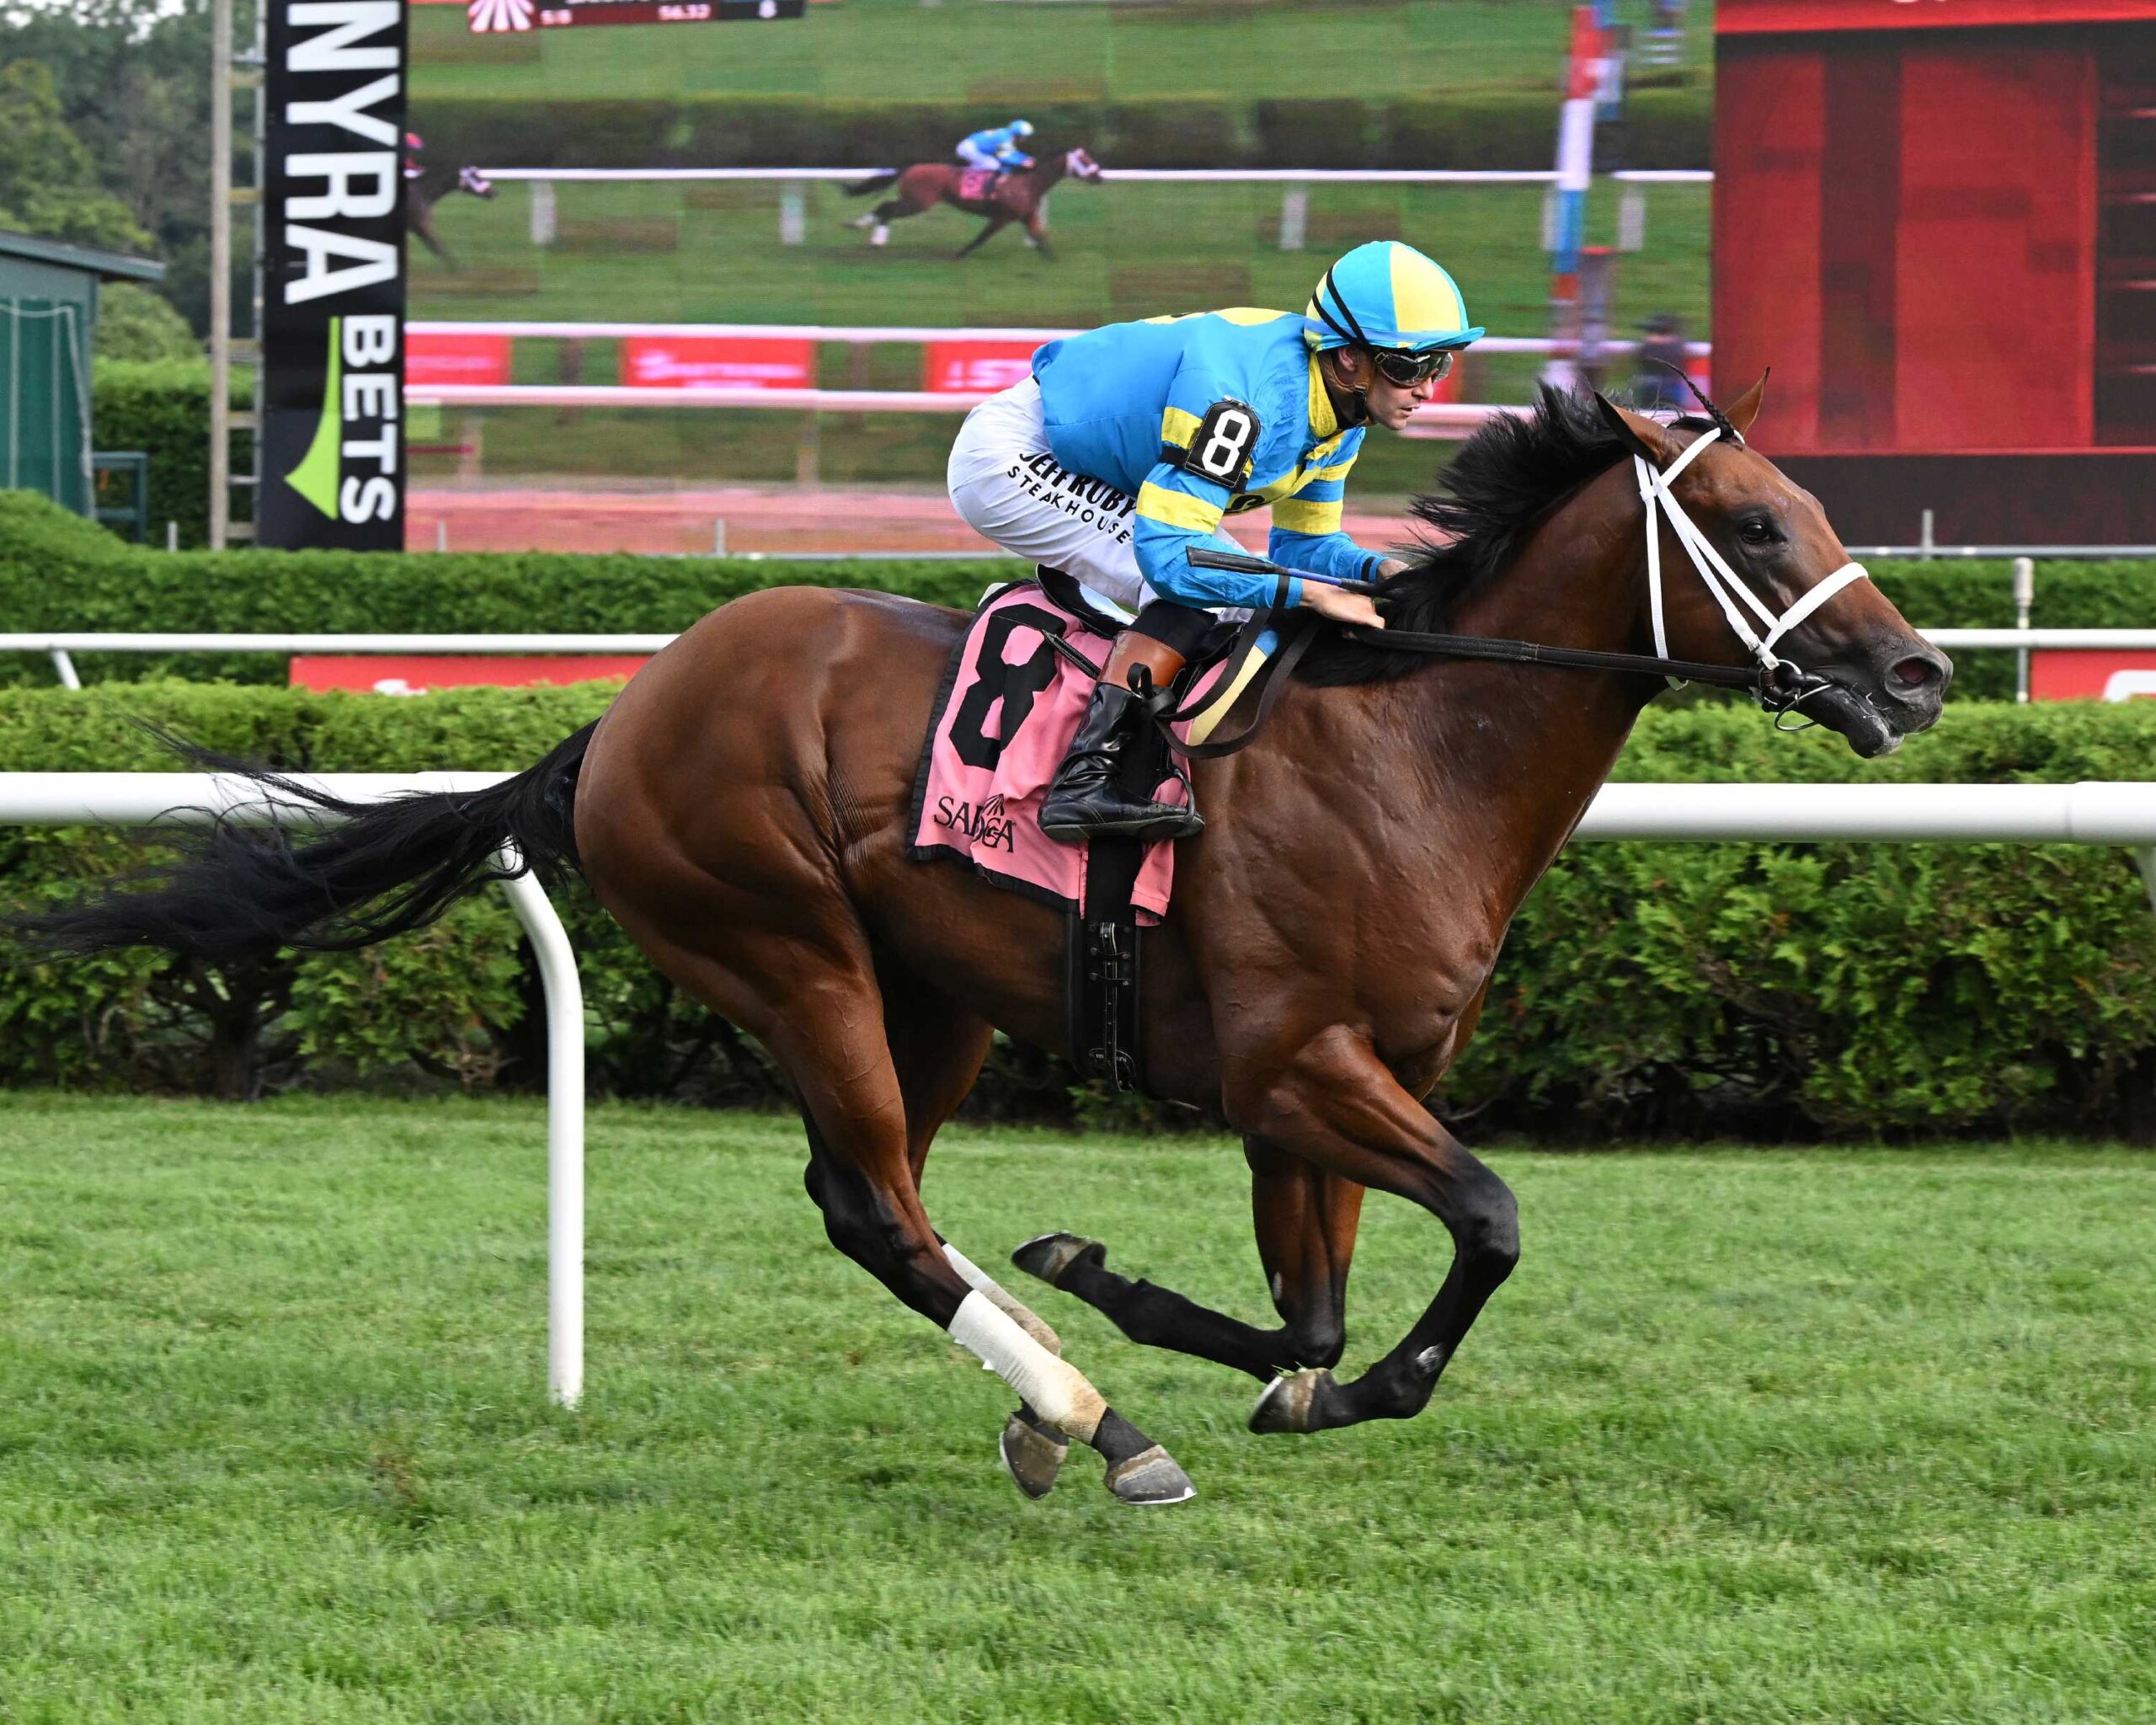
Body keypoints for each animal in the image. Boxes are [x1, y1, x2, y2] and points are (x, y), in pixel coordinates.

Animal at [26, 382, 1949, 1507]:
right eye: (1759, 523)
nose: (1918, 673)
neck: (1415, 748)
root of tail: (622, 713)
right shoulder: (1293, 1067)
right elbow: (1481, 1222)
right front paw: (1321, 1384)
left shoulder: (1320, 1087)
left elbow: (1306, 1307)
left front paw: (1163, 1310)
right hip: (785, 943)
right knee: (874, 1201)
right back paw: (1099, 1418)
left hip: (932, 988)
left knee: (873, 1198)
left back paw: (1057, 1394)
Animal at [844, 147, 1103, 259]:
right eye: (1084, 160)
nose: (1099, 176)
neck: (1029, 181)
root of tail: (910, 168)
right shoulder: (1001, 218)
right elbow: (981, 238)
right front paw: (960, 254)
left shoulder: (1027, 215)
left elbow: (1040, 236)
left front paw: (1051, 258)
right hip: (918, 202)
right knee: (887, 209)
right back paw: (875, 238)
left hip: (914, 201)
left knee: (884, 208)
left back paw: (865, 230)